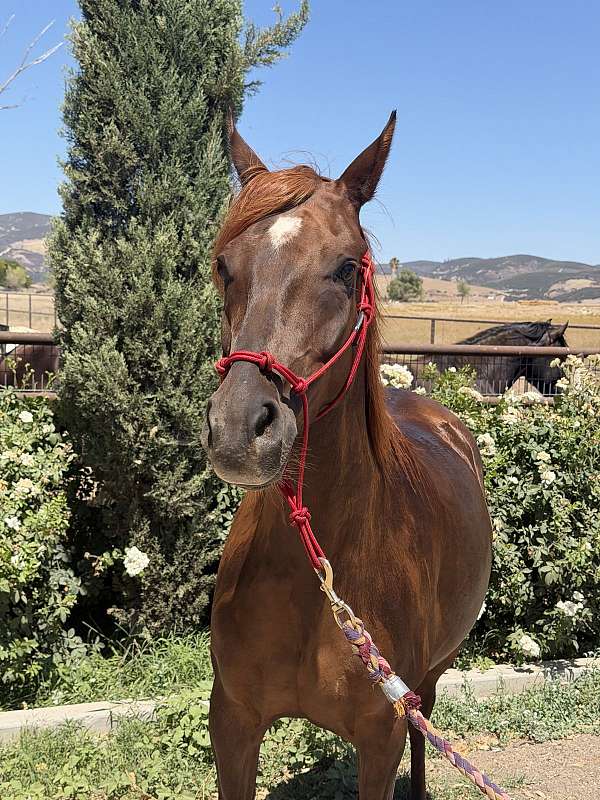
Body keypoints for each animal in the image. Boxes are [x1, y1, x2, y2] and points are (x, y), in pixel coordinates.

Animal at [203, 112, 492, 800]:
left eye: (345, 268)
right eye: (225, 265)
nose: (238, 427)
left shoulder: (380, 738)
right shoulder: (232, 722)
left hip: (426, 680)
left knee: (425, 722)